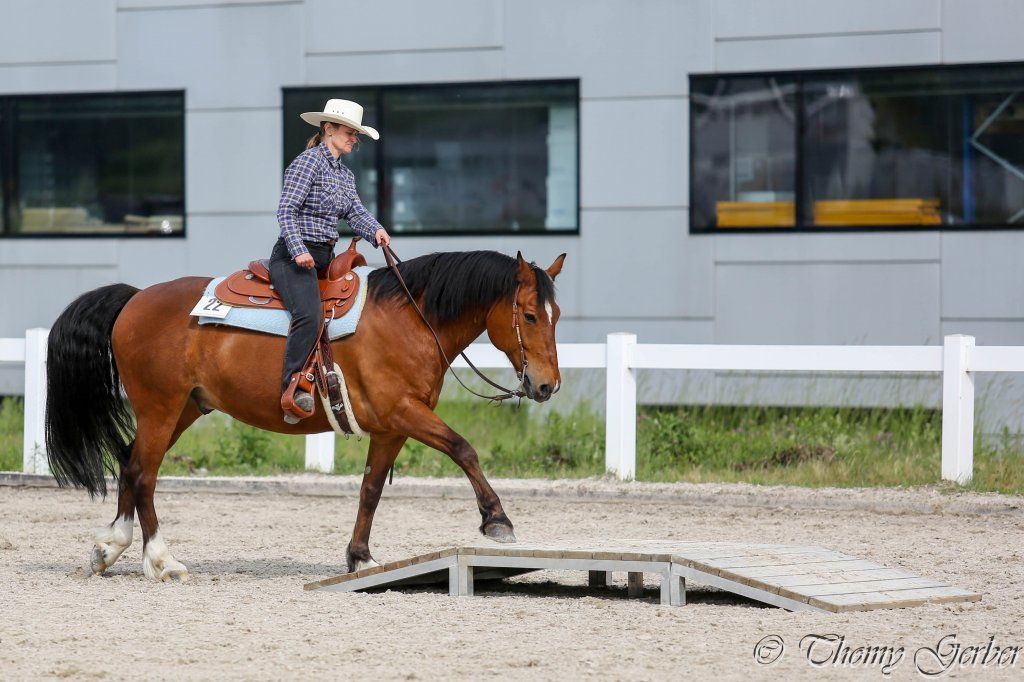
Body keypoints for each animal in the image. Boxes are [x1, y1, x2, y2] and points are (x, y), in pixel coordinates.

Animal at [44, 249, 566, 581]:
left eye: (556, 315)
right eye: (530, 315)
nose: (547, 386)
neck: (411, 319)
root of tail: (135, 298)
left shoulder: (391, 427)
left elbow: (371, 490)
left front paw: (361, 558)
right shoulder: (405, 412)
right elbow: (464, 448)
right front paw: (497, 520)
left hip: (183, 410)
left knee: (131, 464)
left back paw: (108, 547)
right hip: (161, 407)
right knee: (144, 474)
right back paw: (161, 560)